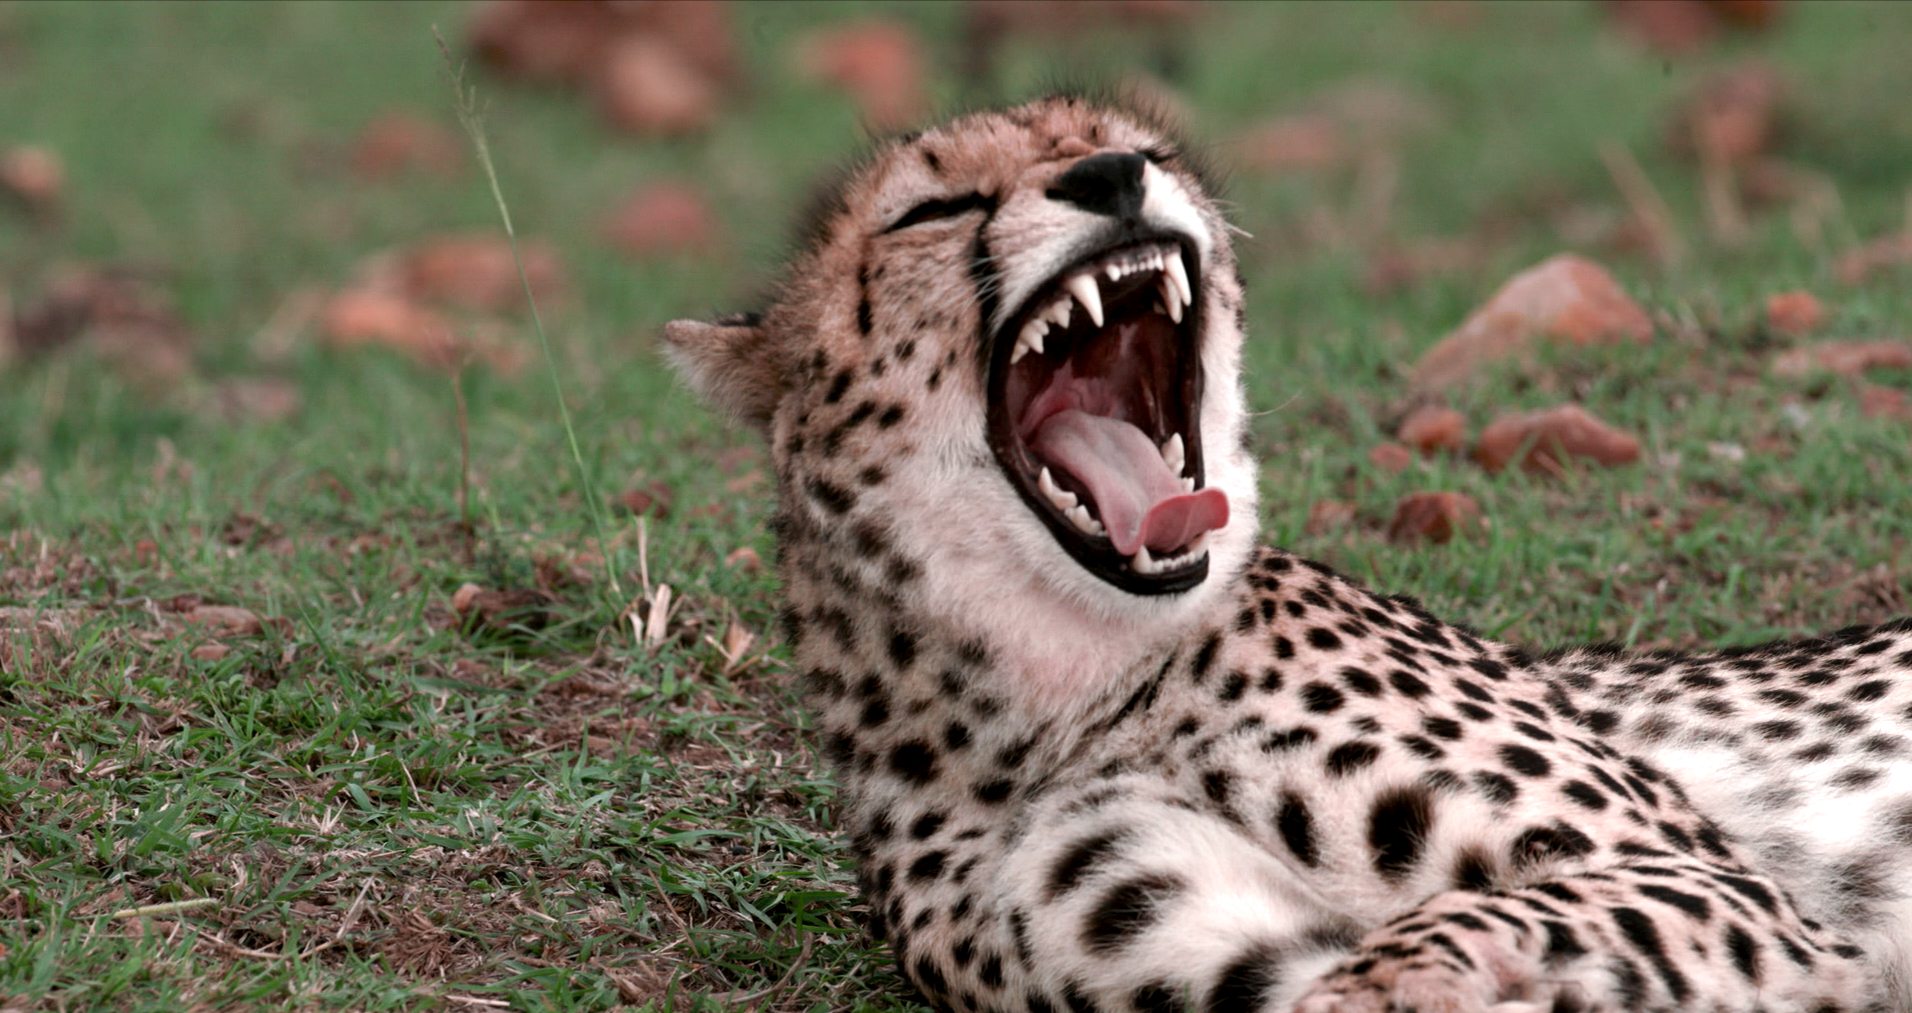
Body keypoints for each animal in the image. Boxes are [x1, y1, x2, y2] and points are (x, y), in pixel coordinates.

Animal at [661, 96, 1912, 1009]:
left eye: (1143, 147)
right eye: (934, 206)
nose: (1110, 177)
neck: (1062, 699)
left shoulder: (1720, 885)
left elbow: (1445, 923)